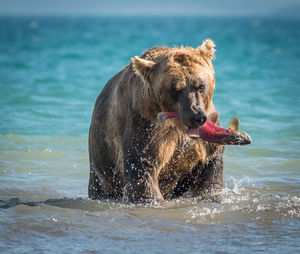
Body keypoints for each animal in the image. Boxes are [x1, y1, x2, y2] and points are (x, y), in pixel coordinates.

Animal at [88, 39, 224, 202]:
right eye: (175, 89)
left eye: (201, 86)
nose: (196, 116)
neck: (177, 124)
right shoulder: (146, 126)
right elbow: (143, 171)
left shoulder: (202, 138)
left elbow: (210, 166)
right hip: (102, 164)